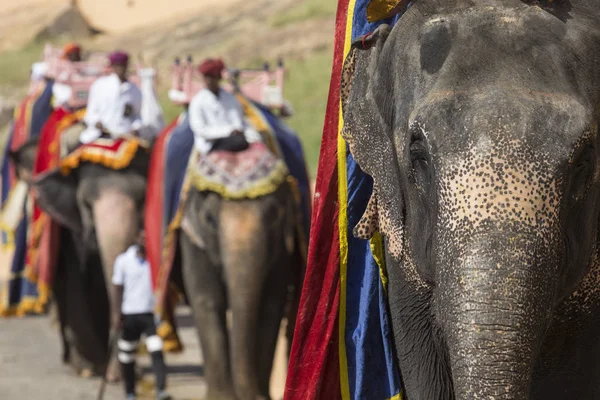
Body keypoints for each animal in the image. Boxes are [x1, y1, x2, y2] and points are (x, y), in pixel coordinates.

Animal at [180, 183, 304, 400]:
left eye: (274, 216)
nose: (253, 396)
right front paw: (222, 398)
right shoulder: (193, 242)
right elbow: (207, 301)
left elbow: (270, 307)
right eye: (209, 219)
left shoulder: (282, 251)